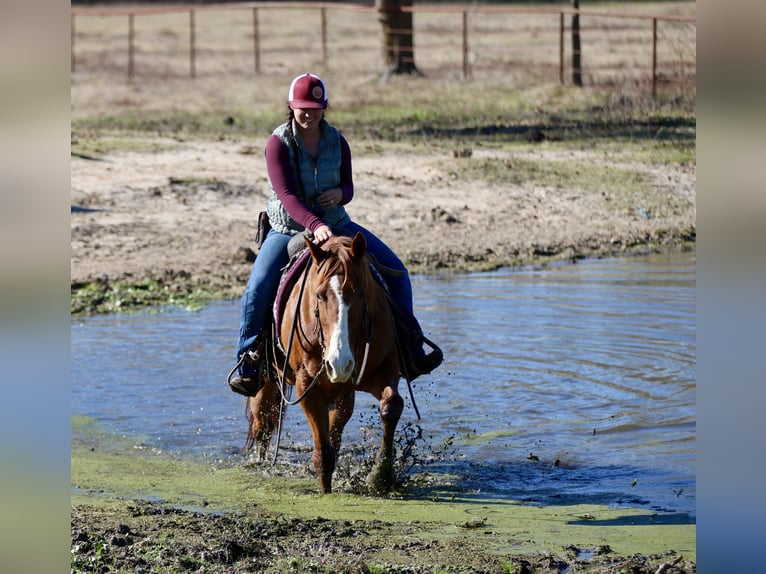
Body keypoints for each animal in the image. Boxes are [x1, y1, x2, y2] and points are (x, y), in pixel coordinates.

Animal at [243, 232, 404, 494]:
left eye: (362, 293)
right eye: (319, 295)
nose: (338, 363)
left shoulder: (375, 374)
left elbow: (391, 406)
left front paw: (381, 475)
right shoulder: (306, 385)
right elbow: (324, 451)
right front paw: (326, 491)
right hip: (266, 380)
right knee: (262, 425)